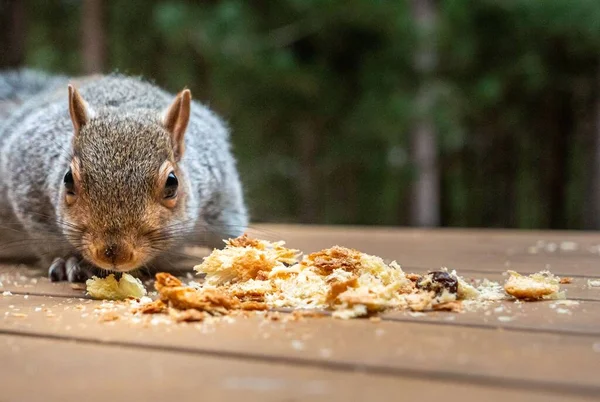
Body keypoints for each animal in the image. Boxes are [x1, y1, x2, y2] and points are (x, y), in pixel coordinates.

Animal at [0, 69, 248, 282]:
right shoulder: (28, 183)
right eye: (67, 179)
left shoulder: (219, 194)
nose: (113, 253)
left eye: (172, 183)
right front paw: (69, 261)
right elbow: (47, 239)